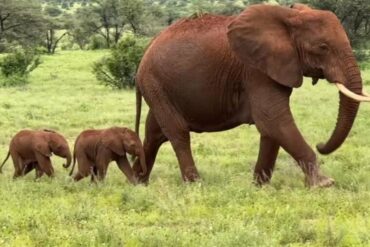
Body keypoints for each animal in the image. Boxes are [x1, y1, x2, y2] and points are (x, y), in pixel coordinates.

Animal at [132, 3, 368, 187]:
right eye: (323, 47)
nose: (321, 144)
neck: (288, 16)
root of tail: (147, 48)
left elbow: (270, 128)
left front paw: (259, 186)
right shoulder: (255, 70)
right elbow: (274, 119)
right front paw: (324, 184)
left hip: (159, 87)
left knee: (154, 134)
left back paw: (137, 183)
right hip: (154, 82)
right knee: (178, 133)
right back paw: (195, 185)